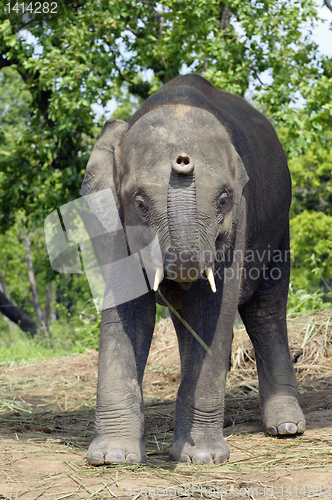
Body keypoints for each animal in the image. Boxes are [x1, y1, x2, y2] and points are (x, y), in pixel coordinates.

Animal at [80, 74, 304, 464]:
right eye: (140, 202)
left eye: (223, 199)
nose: (183, 161)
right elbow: (128, 311)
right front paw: (112, 459)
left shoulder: (239, 219)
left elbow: (213, 310)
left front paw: (202, 459)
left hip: (279, 227)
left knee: (265, 310)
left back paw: (287, 428)